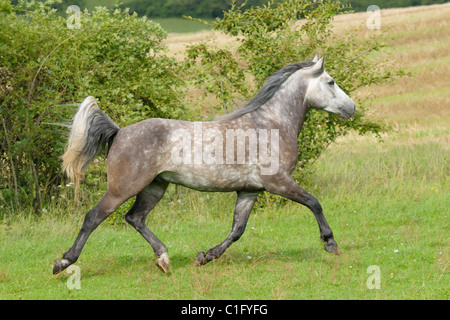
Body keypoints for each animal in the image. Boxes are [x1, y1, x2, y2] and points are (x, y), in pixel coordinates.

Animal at [52, 55, 356, 276]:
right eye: (331, 82)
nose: (352, 108)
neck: (271, 124)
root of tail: (119, 132)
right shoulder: (279, 182)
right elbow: (314, 203)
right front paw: (330, 243)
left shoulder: (250, 190)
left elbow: (237, 230)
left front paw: (206, 256)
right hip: (122, 188)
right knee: (93, 217)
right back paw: (63, 262)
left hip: (154, 188)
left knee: (135, 218)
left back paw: (163, 259)